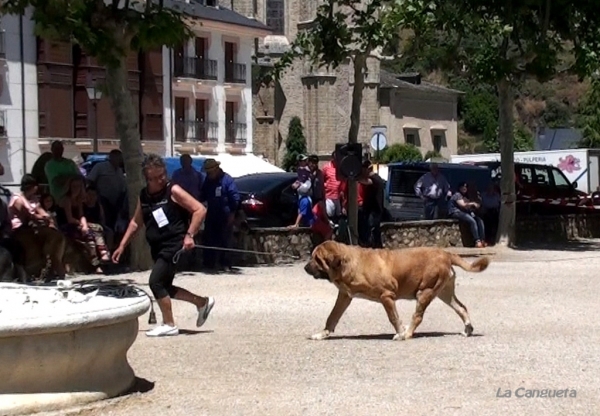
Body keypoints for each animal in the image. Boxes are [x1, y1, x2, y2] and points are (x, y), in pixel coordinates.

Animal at [302, 240, 490, 342]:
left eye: (316, 258)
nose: (304, 268)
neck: (348, 263)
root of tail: (446, 253)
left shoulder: (386, 296)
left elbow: (393, 317)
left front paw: (400, 332)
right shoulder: (344, 296)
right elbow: (332, 317)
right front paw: (322, 334)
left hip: (425, 291)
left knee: (418, 316)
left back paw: (407, 334)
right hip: (444, 293)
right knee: (462, 308)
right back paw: (467, 329)